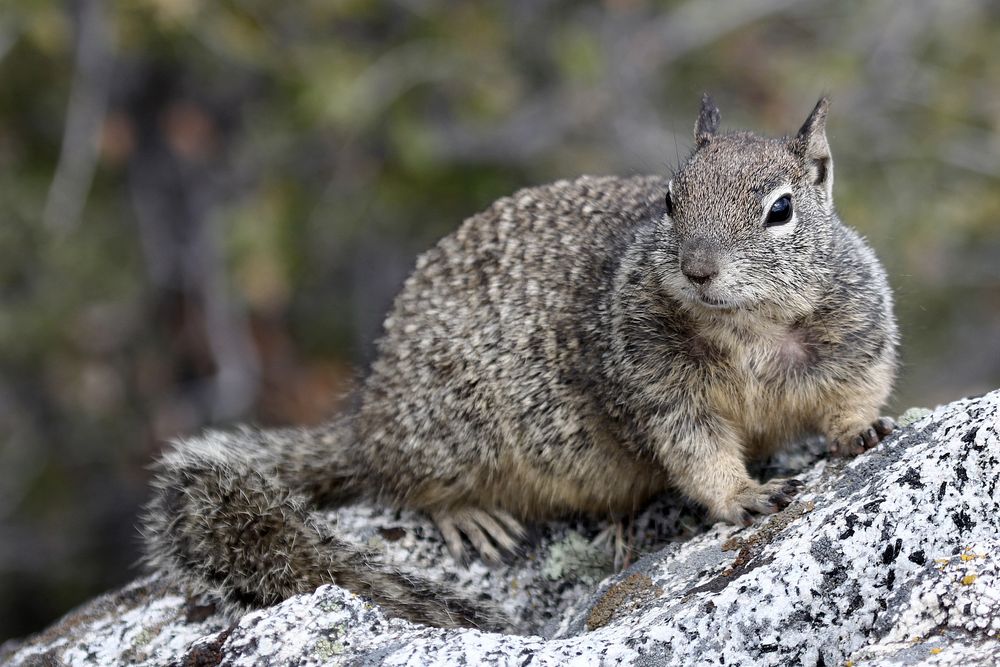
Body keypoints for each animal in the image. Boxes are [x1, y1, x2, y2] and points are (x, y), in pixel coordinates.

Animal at [141, 94, 900, 632]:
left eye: (781, 209)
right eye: (670, 199)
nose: (697, 268)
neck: (748, 329)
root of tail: (367, 421)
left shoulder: (856, 333)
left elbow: (856, 391)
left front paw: (861, 431)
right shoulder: (657, 390)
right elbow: (697, 453)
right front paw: (743, 494)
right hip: (451, 427)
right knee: (404, 482)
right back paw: (469, 516)